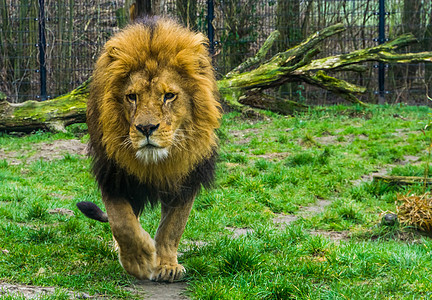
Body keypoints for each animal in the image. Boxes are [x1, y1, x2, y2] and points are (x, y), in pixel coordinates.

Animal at [76, 15, 221, 284]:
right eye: (131, 96)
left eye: (169, 96)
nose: (146, 128)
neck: (155, 162)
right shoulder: (113, 175)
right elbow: (122, 223)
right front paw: (140, 260)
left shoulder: (186, 179)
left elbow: (172, 228)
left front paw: (166, 265)